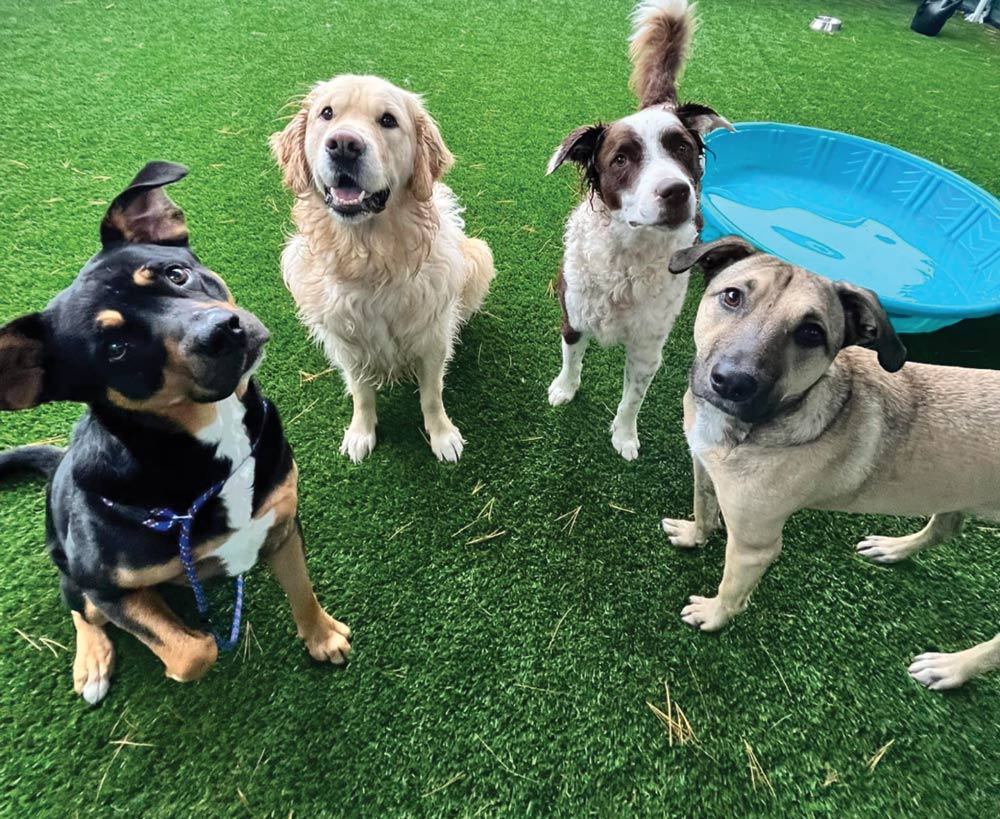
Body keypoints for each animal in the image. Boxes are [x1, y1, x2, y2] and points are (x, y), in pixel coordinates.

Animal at [0, 162, 352, 704]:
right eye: (116, 348)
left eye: (176, 274)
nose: (223, 332)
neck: (210, 453)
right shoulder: (106, 584)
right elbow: (191, 651)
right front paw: (187, 639)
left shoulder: (281, 522)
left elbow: (302, 589)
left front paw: (321, 637)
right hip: (69, 565)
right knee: (80, 608)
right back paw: (92, 662)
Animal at [272, 75, 494, 462]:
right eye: (326, 113)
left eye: (388, 120)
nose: (344, 145)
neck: (368, 257)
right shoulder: (348, 344)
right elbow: (362, 394)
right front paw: (361, 433)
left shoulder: (432, 338)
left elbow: (431, 395)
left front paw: (442, 436)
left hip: (479, 256)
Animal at [548, 0, 736, 462]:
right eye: (621, 159)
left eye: (682, 148)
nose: (677, 191)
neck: (627, 255)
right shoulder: (572, 316)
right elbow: (571, 360)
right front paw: (564, 389)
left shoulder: (648, 350)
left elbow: (633, 398)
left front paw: (624, 436)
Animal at [664, 237, 1000, 692]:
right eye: (733, 296)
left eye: (811, 333)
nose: (732, 382)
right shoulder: (704, 468)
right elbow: (703, 509)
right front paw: (694, 535)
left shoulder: (754, 545)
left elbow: (732, 591)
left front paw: (713, 616)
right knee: (945, 527)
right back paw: (892, 549)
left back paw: (951, 668)